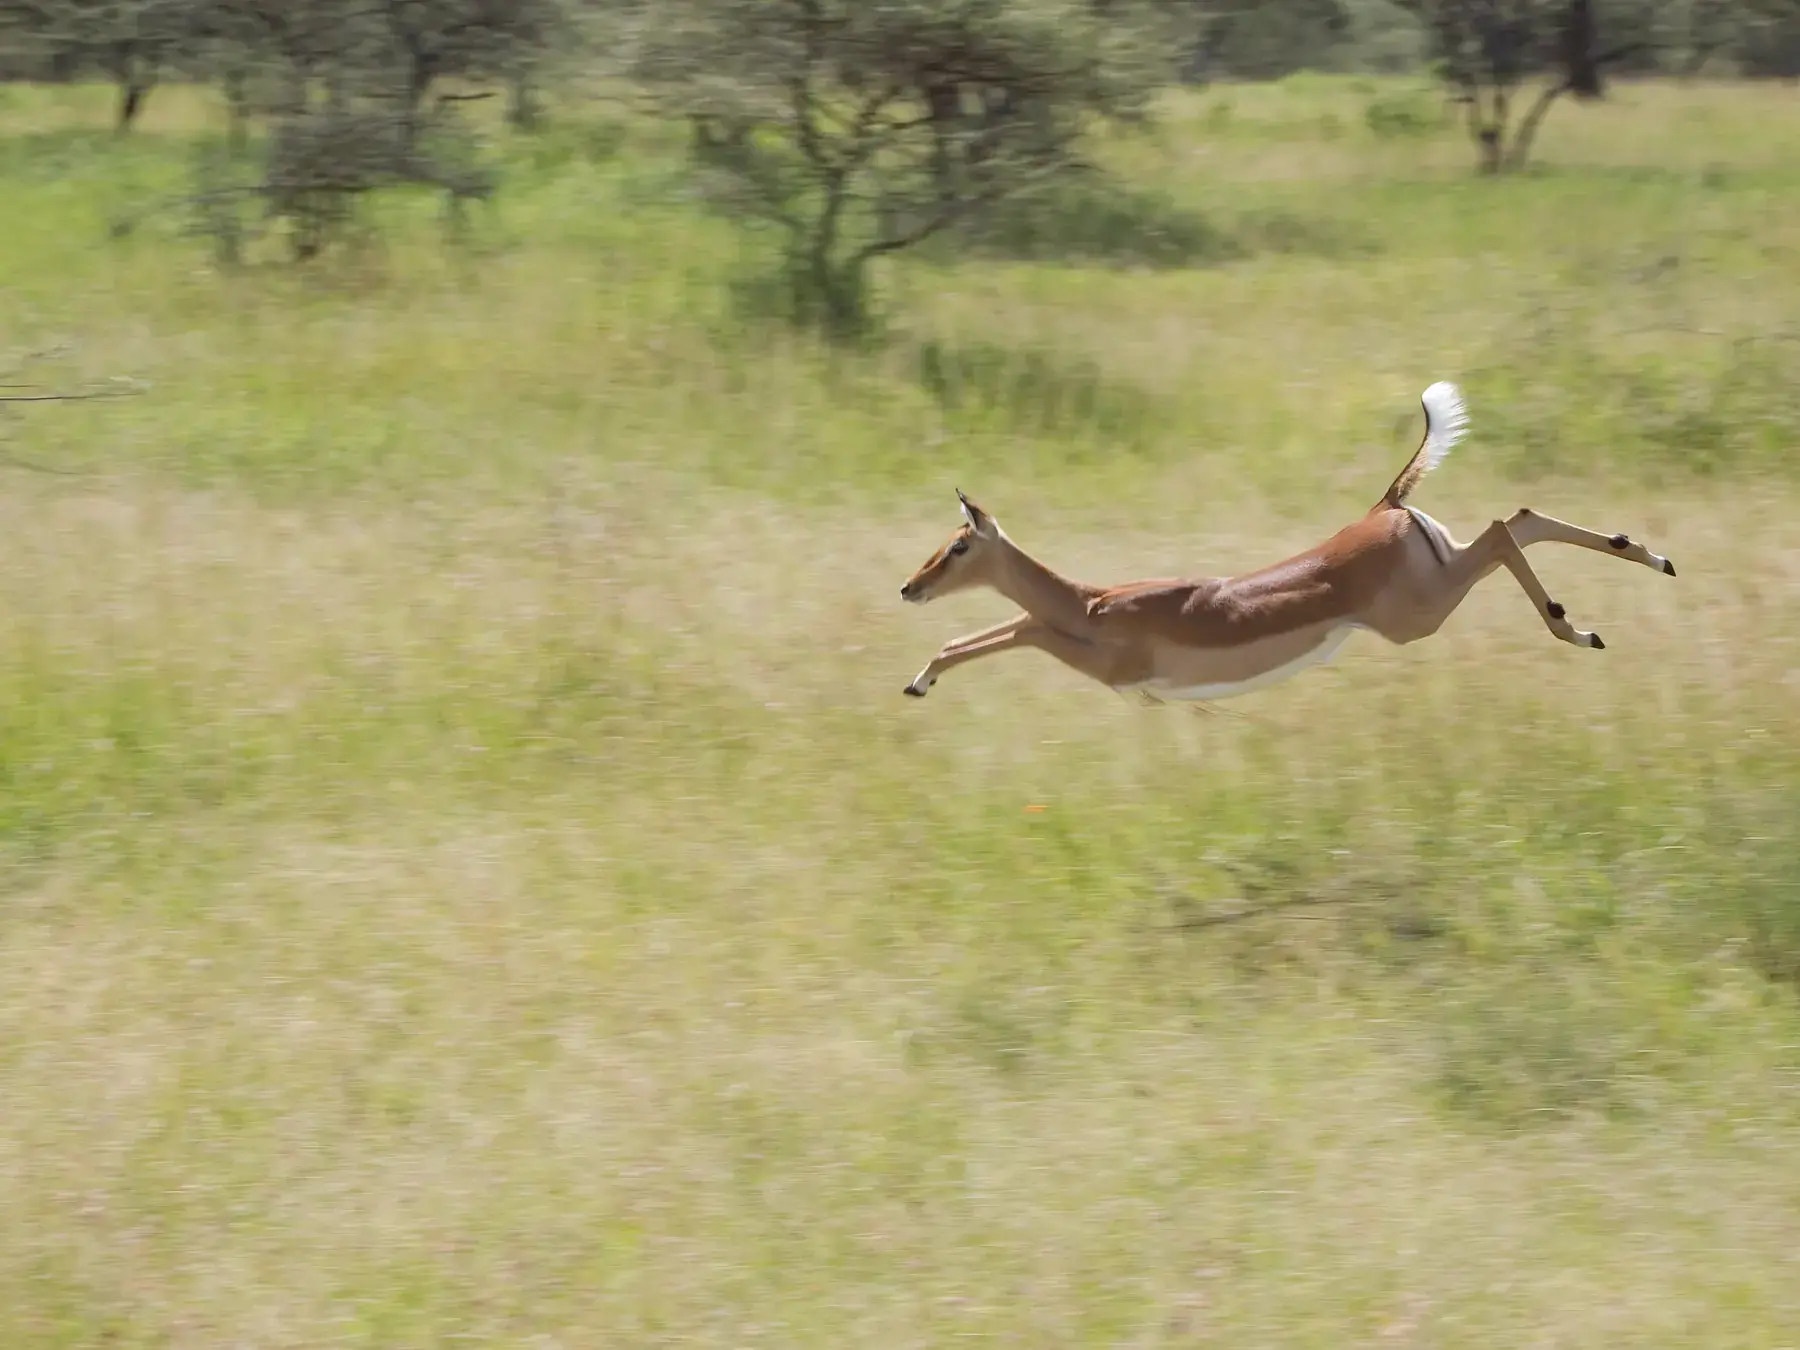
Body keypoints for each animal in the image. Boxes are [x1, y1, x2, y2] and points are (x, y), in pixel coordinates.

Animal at [898, 382, 1675, 703]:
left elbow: (1004, 632)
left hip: (1421, 612)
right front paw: (917, 681)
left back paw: (1580, 625)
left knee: (1505, 528)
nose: (910, 587)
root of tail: (1385, 507)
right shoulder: (1049, 631)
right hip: (1443, 575)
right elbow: (986, 634)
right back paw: (1651, 561)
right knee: (1521, 517)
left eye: (958, 547)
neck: (1091, 606)